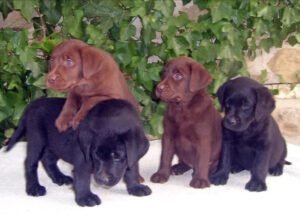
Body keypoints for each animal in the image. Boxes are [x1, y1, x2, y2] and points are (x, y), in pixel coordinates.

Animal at [6, 97, 152, 206]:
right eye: (95, 155)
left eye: (117, 156)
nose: (101, 179)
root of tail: (33, 103)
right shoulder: (83, 157)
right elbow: (82, 177)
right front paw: (85, 197)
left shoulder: (132, 155)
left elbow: (132, 170)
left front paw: (135, 187)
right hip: (36, 139)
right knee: (30, 163)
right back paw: (34, 188)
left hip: (55, 145)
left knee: (48, 159)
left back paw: (60, 177)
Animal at [150, 57, 223, 188]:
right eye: (163, 73)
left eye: (178, 76)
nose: (158, 88)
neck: (181, 108)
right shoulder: (168, 136)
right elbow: (165, 157)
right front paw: (161, 174)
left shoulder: (203, 140)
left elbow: (202, 160)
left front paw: (200, 180)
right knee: (184, 162)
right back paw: (178, 168)